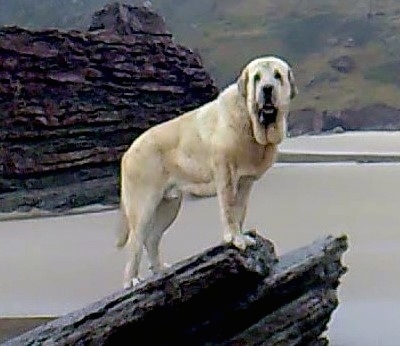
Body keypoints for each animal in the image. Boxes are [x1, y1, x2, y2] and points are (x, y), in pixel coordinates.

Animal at [117, 56, 296, 288]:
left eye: (277, 76)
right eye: (257, 78)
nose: (267, 89)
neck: (250, 122)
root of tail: (128, 151)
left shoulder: (245, 181)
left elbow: (239, 211)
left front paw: (242, 237)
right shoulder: (226, 174)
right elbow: (229, 210)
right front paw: (235, 239)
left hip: (169, 205)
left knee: (152, 238)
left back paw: (160, 270)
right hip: (144, 203)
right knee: (136, 241)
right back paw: (131, 280)